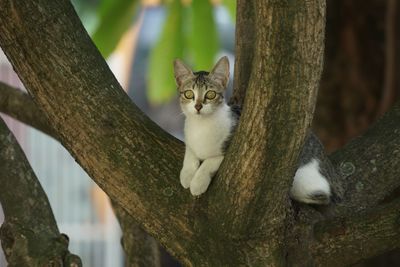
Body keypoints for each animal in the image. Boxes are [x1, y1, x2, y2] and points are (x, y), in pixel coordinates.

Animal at [173, 55, 332, 204]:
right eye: (189, 94)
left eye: (210, 94)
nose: (198, 106)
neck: (201, 126)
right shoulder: (190, 139)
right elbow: (190, 152)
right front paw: (187, 174)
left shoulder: (231, 146)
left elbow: (211, 161)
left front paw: (197, 182)